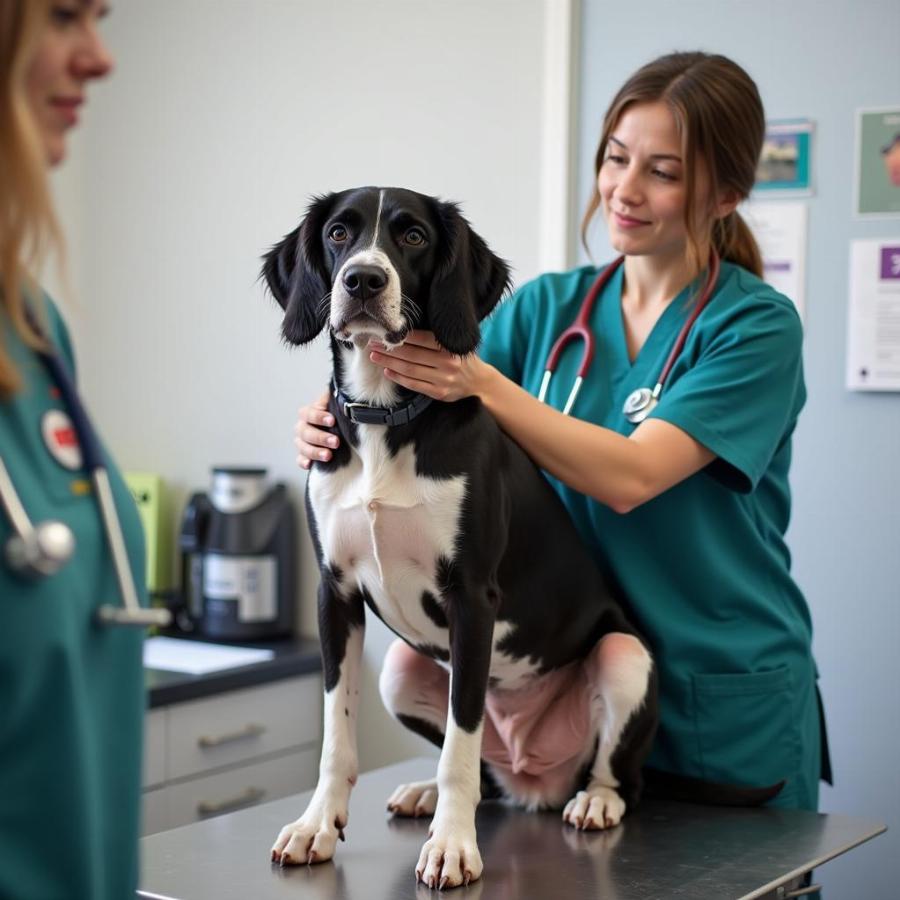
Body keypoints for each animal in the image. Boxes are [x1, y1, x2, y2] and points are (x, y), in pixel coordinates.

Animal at [258, 186, 652, 888]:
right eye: (338, 233)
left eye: (412, 236)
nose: (363, 279)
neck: (385, 415)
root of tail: (535, 780)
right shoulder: (335, 594)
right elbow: (337, 734)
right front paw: (315, 826)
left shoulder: (472, 599)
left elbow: (459, 751)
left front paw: (452, 847)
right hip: (401, 668)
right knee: (486, 776)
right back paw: (428, 796)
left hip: (625, 657)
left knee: (610, 772)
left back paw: (594, 801)